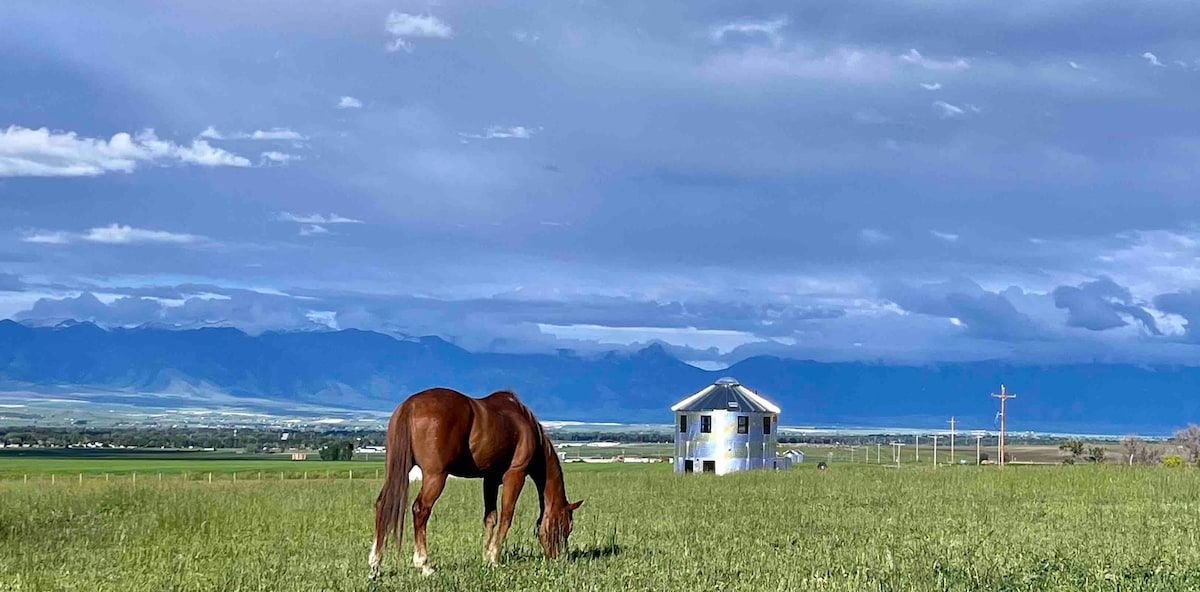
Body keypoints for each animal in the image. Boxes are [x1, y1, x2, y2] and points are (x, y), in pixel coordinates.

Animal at [369, 386, 585, 576]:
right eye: (566, 527)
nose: (557, 557)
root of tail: (411, 405)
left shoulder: (490, 479)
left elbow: (490, 518)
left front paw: (486, 557)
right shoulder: (515, 475)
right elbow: (506, 516)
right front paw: (494, 558)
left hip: (397, 469)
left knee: (382, 504)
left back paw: (375, 564)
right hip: (435, 476)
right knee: (420, 510)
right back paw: (424, 565)